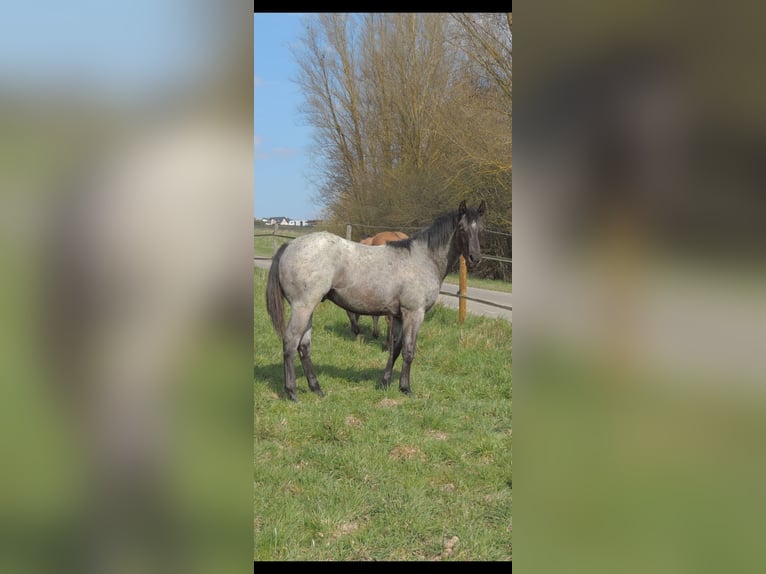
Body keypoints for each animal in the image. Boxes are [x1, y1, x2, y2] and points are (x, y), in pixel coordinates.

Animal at [266, 200, 487, 402]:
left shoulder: (398, 316)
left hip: (308, 308)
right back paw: (292, 392)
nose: (475, 257)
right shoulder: (414, 313)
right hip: (302, 307)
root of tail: (289, 245)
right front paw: (406, 389)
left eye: (481, 229)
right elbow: (408, 351)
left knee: (304, 346)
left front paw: (385, 383)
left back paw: (316, 389)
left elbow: (395, 349)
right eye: (461, 228)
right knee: (290, 342)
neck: (423, 259)